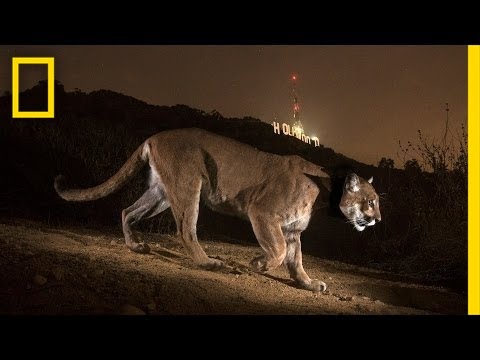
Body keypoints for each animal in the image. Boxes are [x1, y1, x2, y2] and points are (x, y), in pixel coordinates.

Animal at [54, 128, 380, 292]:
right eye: (371, 201)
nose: (378, 219)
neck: (325, 191)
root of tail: (154, 136)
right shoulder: (262, 213)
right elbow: (277, 253)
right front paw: (257, 264)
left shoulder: (292, 230)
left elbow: (296, 262)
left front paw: (309, 284)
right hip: (189, 185)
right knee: (185, 230)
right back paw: (210, 263)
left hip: (161, 193)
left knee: (127, 211)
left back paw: (136, 245)